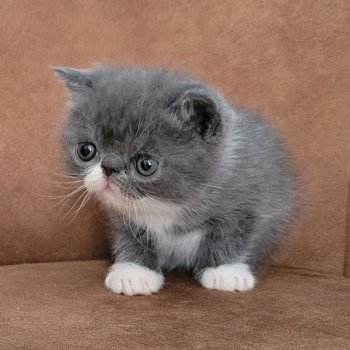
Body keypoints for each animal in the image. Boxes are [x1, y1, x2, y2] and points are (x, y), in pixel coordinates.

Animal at [54, 65, 294, 296]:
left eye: (146, 165)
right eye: (86, 150)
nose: (109, 167)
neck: (166, 206)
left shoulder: (249, 197)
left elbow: (232, 233)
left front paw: (224, 271)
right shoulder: (124, 216)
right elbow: (131, 235)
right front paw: (134, 271)